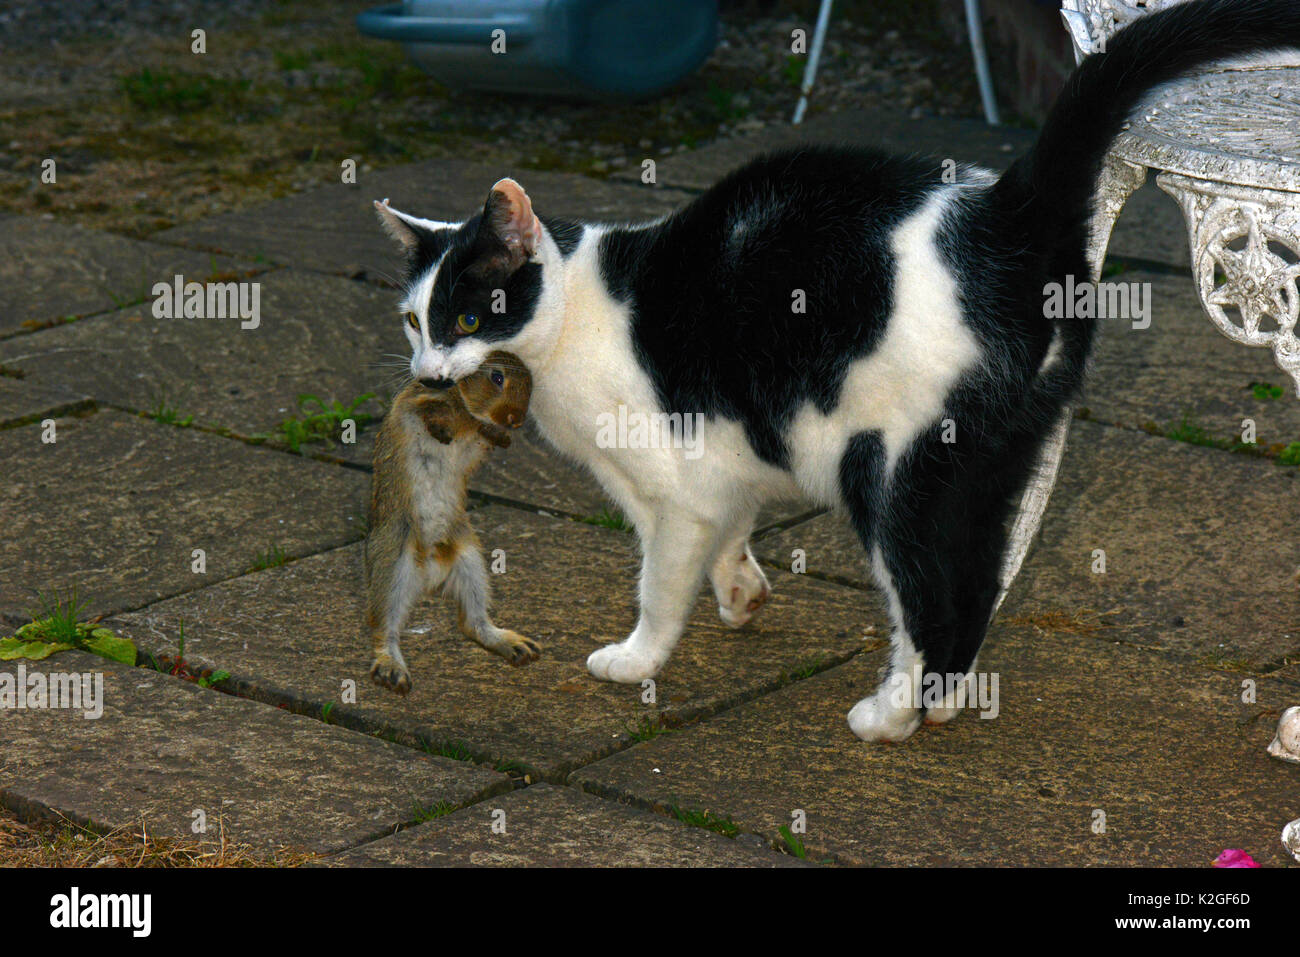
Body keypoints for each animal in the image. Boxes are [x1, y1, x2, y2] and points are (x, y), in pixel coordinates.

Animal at [364, 348, 535, 691]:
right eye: (497, 377)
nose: (517, 419)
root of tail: (429, 575)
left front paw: (499, 437)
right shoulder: (417, 403)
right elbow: (431, 411)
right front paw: (443, 432)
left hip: (469, 560)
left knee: (473, 621)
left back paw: (514, 645)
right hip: (394, 562)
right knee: (385, 626)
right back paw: (392, 669)